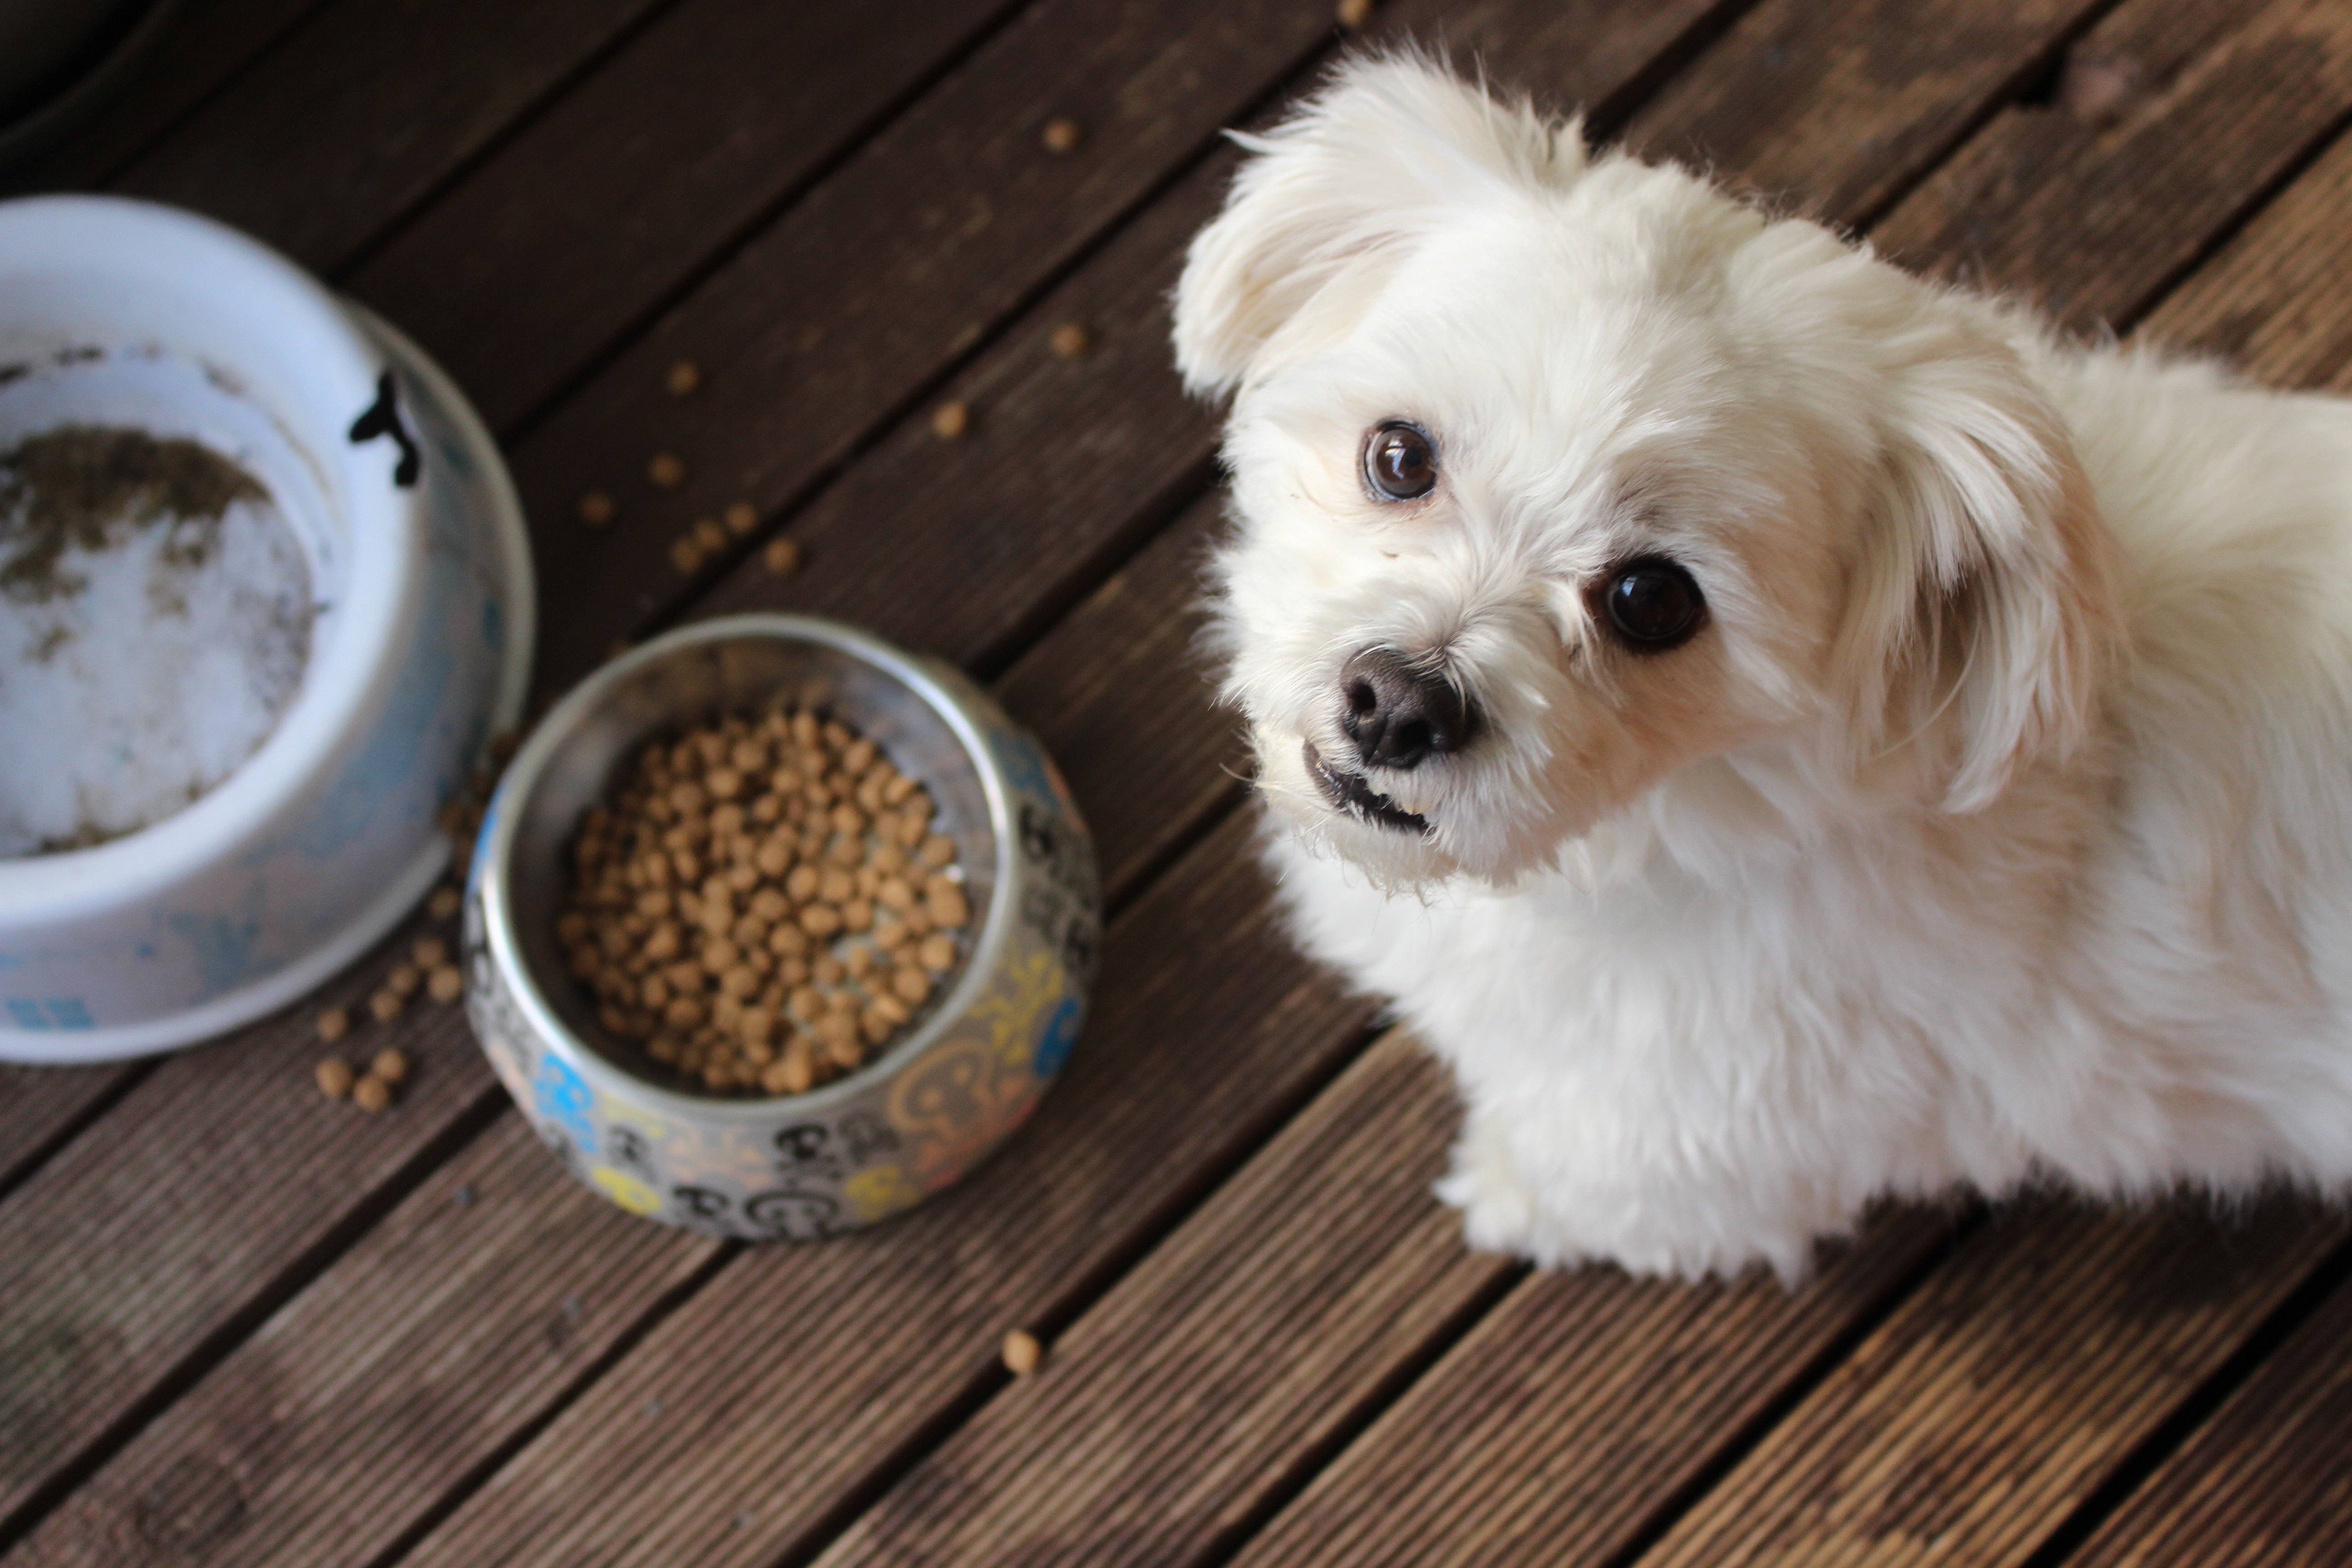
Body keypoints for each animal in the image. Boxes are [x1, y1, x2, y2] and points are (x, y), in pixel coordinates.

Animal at [1176, 55, 2352, 1279]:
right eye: (1399, 456)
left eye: (1653, 600)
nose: (1399, 705)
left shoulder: (1697, 1143)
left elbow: (1591, 1183)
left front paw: (1501, 1188)